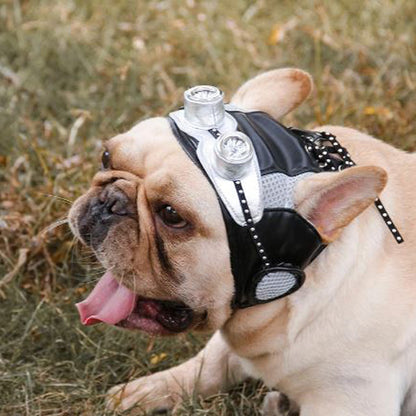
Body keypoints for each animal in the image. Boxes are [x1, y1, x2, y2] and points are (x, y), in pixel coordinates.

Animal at [68, 68, 416, 415]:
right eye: (106, 157)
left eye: (171, 215)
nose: (109, 202)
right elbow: (208, 366)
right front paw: (145, 391)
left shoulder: (348, 401)